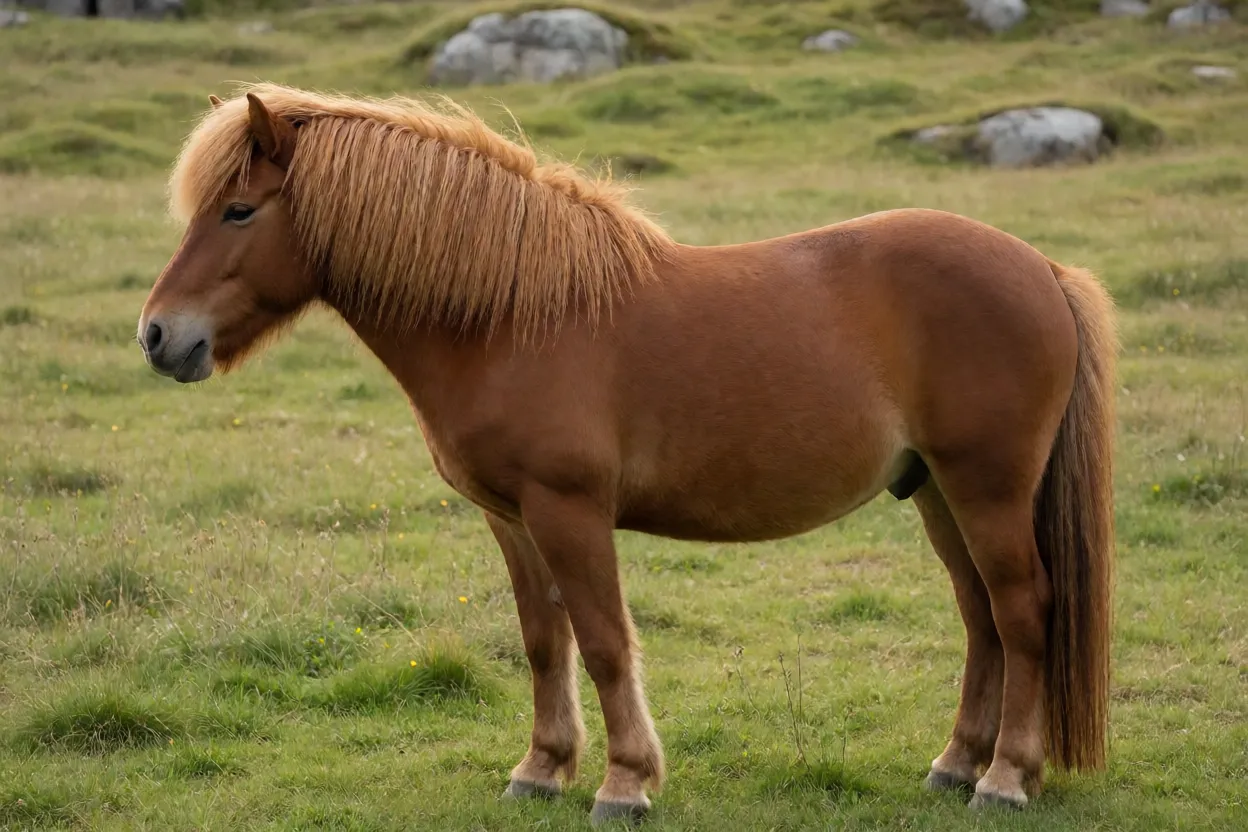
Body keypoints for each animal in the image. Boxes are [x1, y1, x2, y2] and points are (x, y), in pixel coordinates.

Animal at [137, 83, 1117, 825]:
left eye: (238, 210)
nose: (158, 337)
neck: (510, 317)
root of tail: (1043, 270)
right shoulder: (511, 517)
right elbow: (545, 641)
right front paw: (541, 770)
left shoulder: (569, 510)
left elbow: (606, 641)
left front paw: (624, 784)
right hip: (938, 492)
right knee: (982, 618)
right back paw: (956, 765)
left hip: (986, 488)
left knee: (1022, 610)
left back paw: (1005, 780)